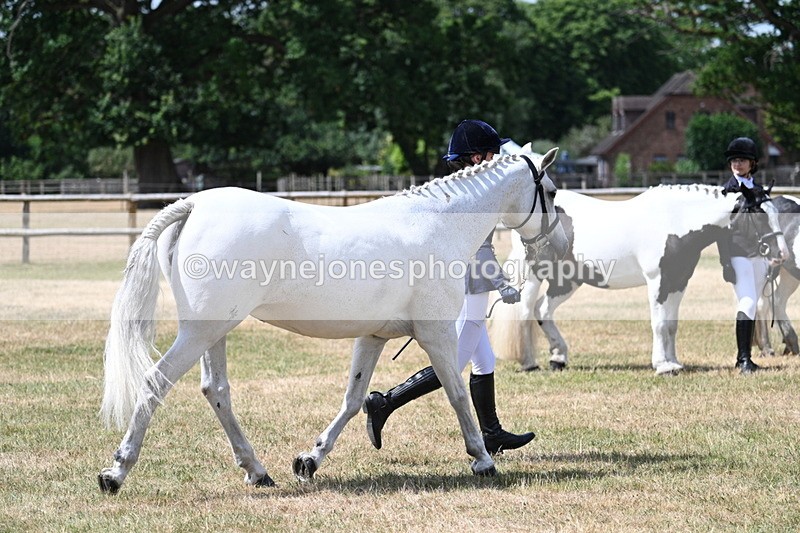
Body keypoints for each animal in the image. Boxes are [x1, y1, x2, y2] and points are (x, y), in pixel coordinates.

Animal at [96, 149, 569, 494]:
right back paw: (115, 473)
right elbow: (455, 392)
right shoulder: (435, 334)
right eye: (549, 190)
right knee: (156, 382)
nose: (560, 245)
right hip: (200, 332)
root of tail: (196, 203)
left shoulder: (374, 336)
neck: (435, 226)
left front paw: (309, 460)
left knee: (216, 391)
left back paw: (258, 471)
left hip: (214, 332)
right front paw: (482, 459)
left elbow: (354, 399)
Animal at [488, 183, 788, 375]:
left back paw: (558, 358)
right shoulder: (658, 281)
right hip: (535, 276)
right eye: (759, 214)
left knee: (543, 310)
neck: (675, 220)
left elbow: (671, 325)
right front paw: (662, 366)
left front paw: (674, 362)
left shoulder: (678, 281)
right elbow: (658, 323)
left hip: (568, 281)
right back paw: (529, 363)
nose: (781, 254)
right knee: (526, 311)